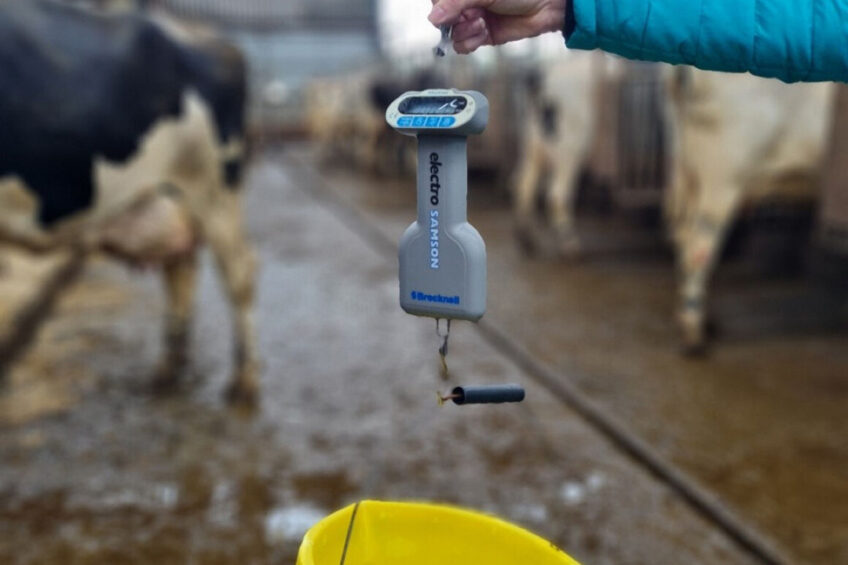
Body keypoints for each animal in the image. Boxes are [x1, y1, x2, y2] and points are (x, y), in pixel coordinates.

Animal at [0, 0, 258, 400]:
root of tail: (216, 39)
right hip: (175, 197)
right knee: (181, 270)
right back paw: (169, 369)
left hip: (216, 188)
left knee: (240, 274)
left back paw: (243, 382)